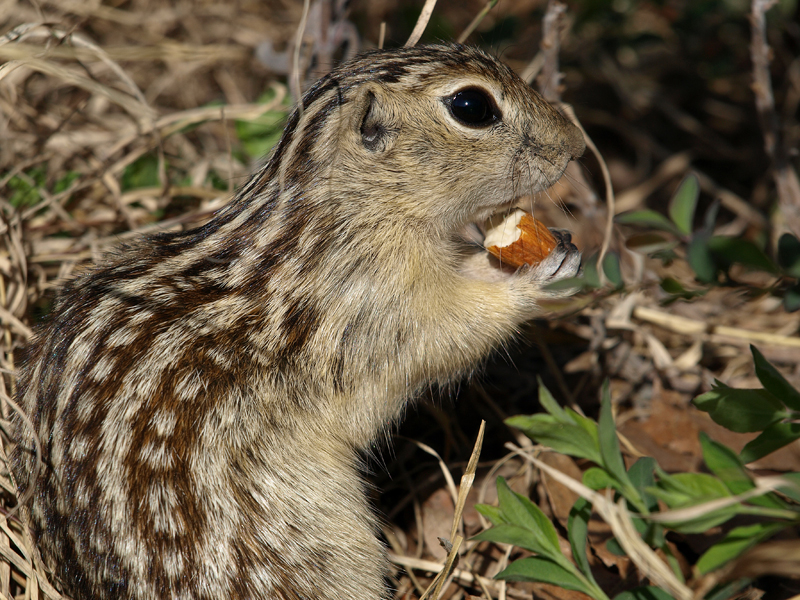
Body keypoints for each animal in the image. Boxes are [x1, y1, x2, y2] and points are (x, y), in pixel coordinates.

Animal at [10, 44, 588, 596]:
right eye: (472, 106)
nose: (577, 145)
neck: (341, 214)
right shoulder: (375, 312)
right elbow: (451, 330)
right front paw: (539, 275)